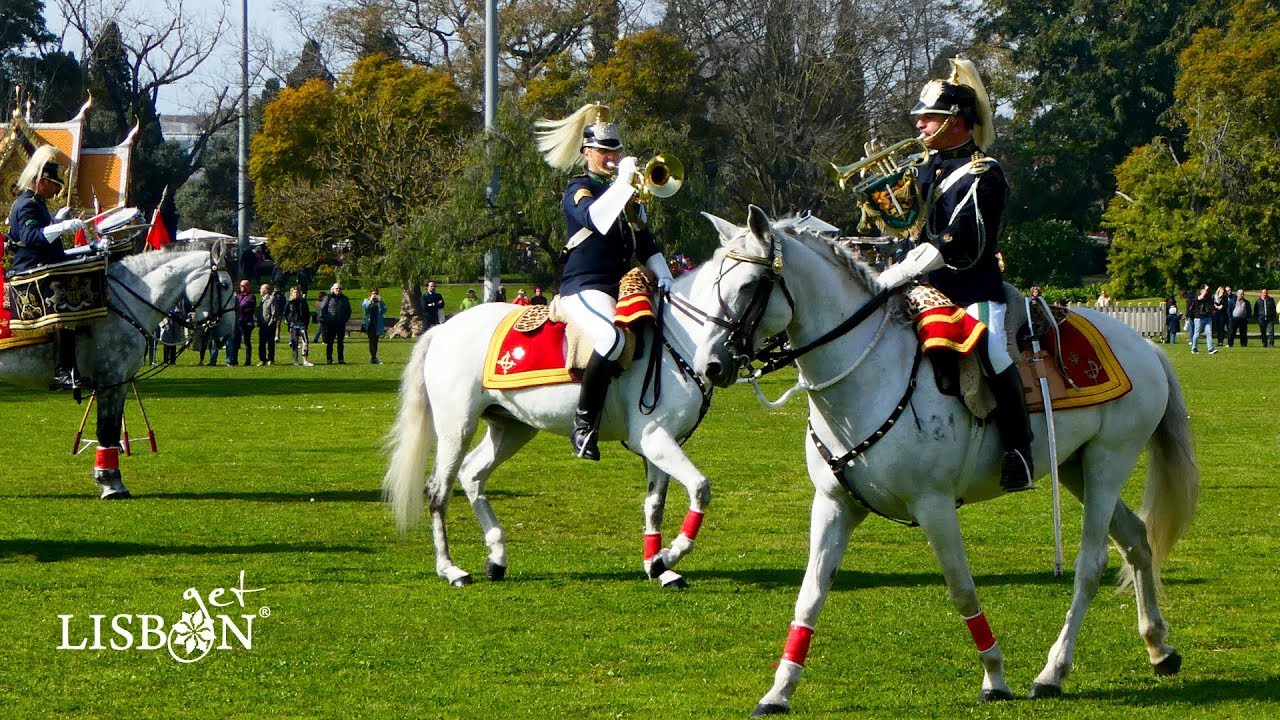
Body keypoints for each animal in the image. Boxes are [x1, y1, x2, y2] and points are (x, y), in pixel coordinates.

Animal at [0, 244, 235, 498]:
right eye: (224, 285)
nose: (227, 334)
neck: (125, 304)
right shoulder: (110, 380)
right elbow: (106, 430)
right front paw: (110, 483)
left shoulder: (121, 383)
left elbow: (113, 432)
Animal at [381, 230, 783, 589]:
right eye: (749, 285)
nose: (721, 367)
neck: (678, 338)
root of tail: (443, 329)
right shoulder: (654, 438)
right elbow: (700, 488)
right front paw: (669, 556)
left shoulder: (663, 443)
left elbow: (654, 504)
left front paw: (658, 567)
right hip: (457, 426)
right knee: (439, 489)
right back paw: (450, 569)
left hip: (511, 427)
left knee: (472, 474)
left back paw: (496, 558)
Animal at [687, 207, 1199, 714]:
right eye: (714, 283)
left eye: (750, 286)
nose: (709, 366)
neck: (869, 377)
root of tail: (1144, 346)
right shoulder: (833, 504)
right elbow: (811, 594)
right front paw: (779, 691)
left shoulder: (933, 506)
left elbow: (962, 588)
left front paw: (994, 678)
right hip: (1076, 467)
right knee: (1136, 539)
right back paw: (1159, 647)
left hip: (1109, 462)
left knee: (1090, 563)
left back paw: (1053, 672)